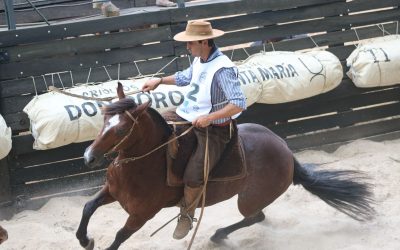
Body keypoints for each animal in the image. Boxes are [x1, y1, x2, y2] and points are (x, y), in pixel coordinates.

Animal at [77, 83, 376, 249]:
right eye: (104, 120)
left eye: (121, 129)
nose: (88, 156)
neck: (145, 163)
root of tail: (288, 154)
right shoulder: (111, 192)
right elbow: (88, 207)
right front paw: (85, 240)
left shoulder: (142, 215)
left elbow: (119, 236)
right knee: (259, 218)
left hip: (249, 198)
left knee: (255, 217)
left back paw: (219, 235)